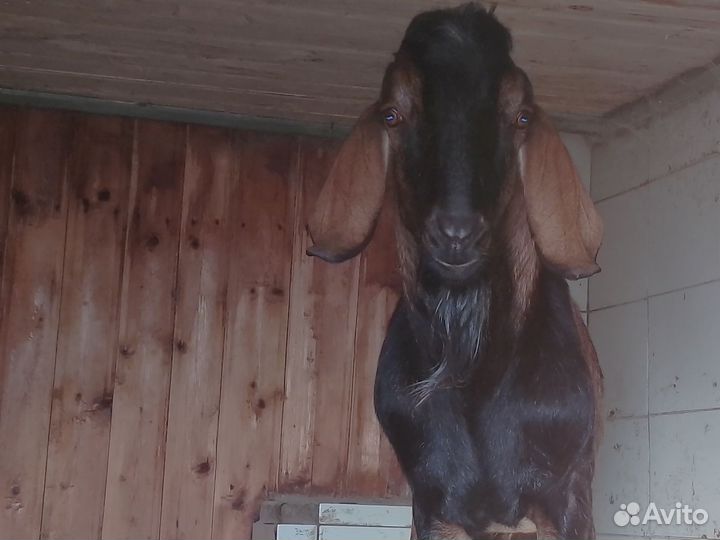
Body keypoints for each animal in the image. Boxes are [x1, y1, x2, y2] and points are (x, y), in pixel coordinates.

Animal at [306, 4, 604, 539]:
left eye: (520, 116)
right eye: (392, 114)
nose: (457, 233)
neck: (473, 376)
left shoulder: (569, 493)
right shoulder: (433, 503)